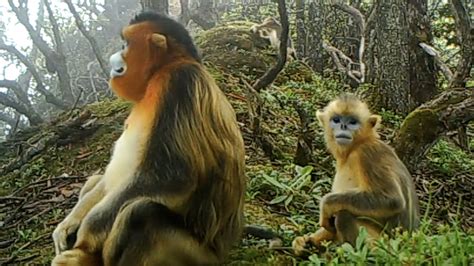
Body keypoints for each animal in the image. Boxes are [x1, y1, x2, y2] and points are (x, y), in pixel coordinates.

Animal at [51, 11, 244, 266]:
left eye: (125, 44)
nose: (115, 57)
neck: (160, 73)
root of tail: (224, 249)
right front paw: (68, 224)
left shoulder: (180, 83)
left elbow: (170, 177)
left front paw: (85, 235)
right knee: (99, 183)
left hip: (199, 255)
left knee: (141, 213)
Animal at [292, 94, 418, 255]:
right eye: (336, 120)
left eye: (352, 122)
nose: (343, 126)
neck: (355, 147)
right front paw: (304, 241)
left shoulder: (368, 153)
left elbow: (393, 200)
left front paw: (325, 205)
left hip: (382, 247)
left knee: (343, 215)